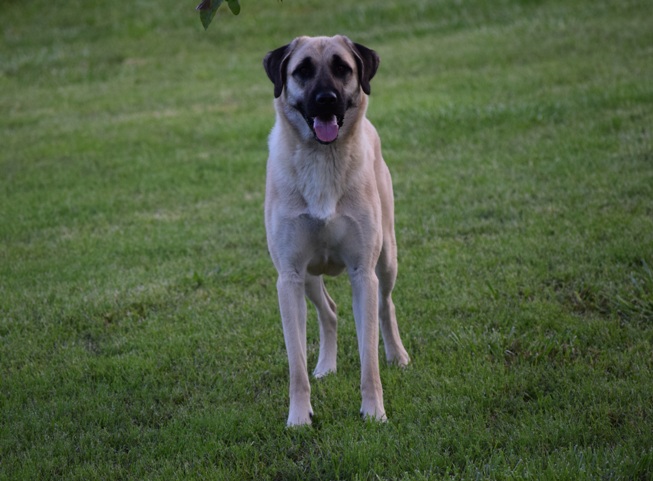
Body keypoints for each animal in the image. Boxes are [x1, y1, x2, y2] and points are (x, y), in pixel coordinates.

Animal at [262, 35, 408, 426]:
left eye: (343, 68)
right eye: (302, 70)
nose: (326, 99)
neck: (322, 159)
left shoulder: (362, 273)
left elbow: (369, 359)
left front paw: (374, 412)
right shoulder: (289, 276)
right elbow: (295, 364)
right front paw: (299, 418)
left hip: (386, 258)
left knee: (386, 305)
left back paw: (398, 355)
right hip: (310, 277)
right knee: (328, 311)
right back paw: (325, 366)